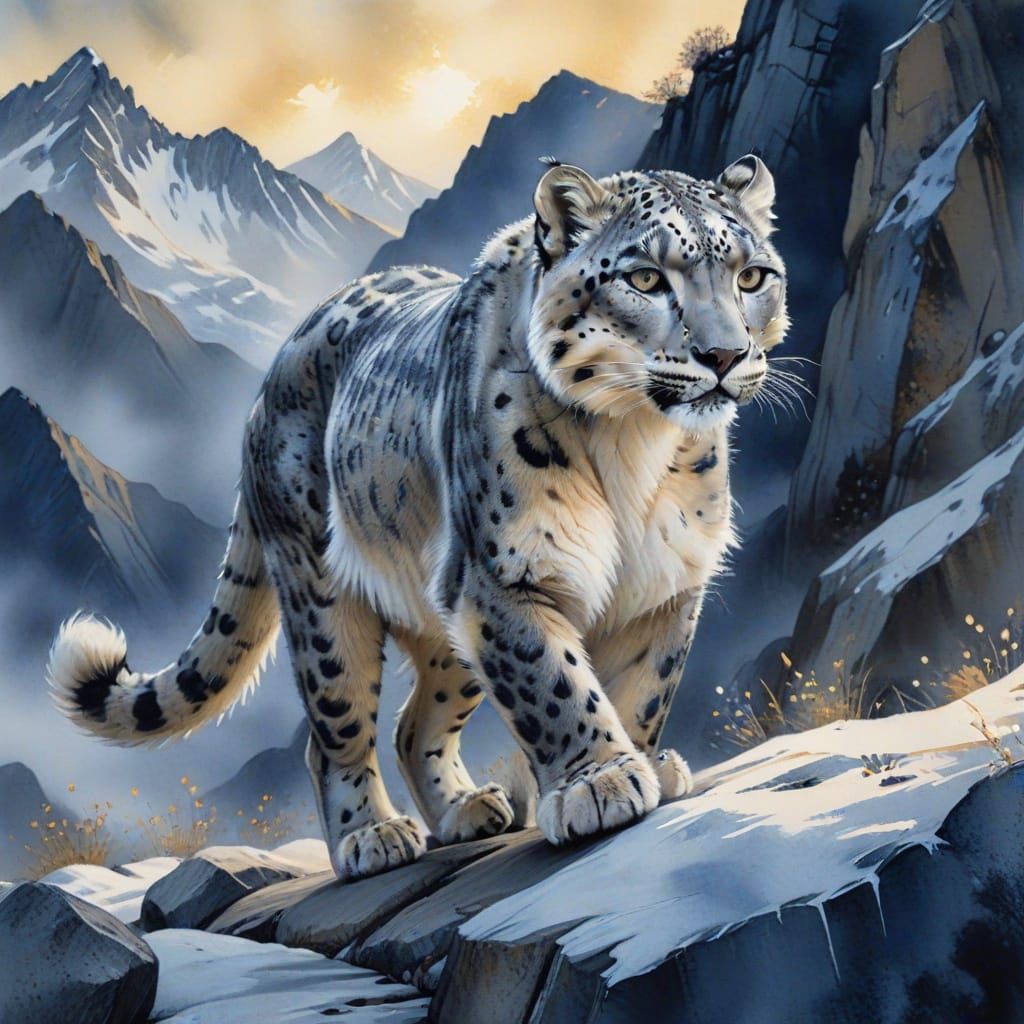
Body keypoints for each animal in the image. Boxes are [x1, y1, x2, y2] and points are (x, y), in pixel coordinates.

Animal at [48, 154, 789, 880]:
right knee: (336, 725)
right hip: (322, 594)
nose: (723, 356)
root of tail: (272, 375)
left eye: (751, 276)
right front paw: (598, 782)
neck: (633, 441)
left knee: (414, 724)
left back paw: (469, 810)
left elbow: (642, 686)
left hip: (441, 612)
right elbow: (552, 681)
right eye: (645, 277)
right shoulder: (503, 575)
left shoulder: (665, 582)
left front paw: (641, 764)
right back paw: (370, 836)